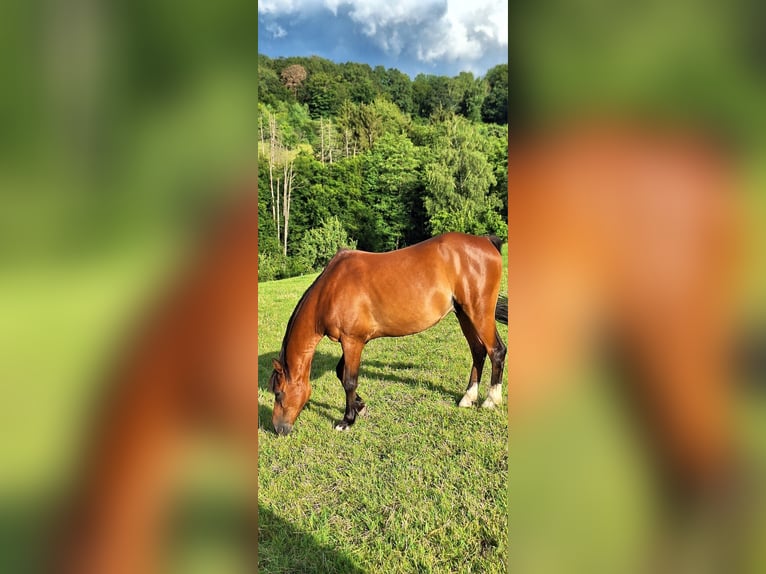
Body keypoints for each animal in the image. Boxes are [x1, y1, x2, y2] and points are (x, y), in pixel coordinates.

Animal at [267, 233, 508, 436]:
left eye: (278, 393)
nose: (278, 429)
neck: (329, 290)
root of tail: (486, 241)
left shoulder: (352, 341)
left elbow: (349, 380)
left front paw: (347, 420)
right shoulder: (352, 341)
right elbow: (340, 372)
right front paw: (360, 406)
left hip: (479, 313)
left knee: (496, 350)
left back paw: (491, 400)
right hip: (464, 314)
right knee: (478, 352)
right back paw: (468, 397)